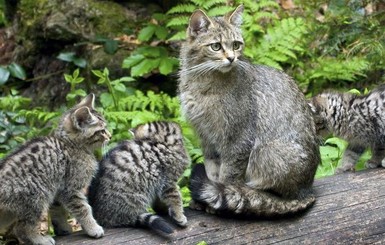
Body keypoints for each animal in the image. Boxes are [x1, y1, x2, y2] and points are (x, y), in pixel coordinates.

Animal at [0, 94, 110, 245]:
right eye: (102, 131)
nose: (110, 136)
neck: (70, 143)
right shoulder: (71, 189)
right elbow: (83, 209)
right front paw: (93, 228)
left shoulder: (58, 189)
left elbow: (58, 210)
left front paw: (63, 228)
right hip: (36, 197)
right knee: (22, 228)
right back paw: (40, 239)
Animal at [178, 5, 320, 216]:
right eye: (216, 46)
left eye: (236, 45)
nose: (232, 58)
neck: (201, 82)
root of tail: (306, 191)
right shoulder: (206, 138)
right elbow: (212, 171)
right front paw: (204, 200)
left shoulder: (238, 139)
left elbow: (228, 177)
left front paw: (219, 198)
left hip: (265, 150)